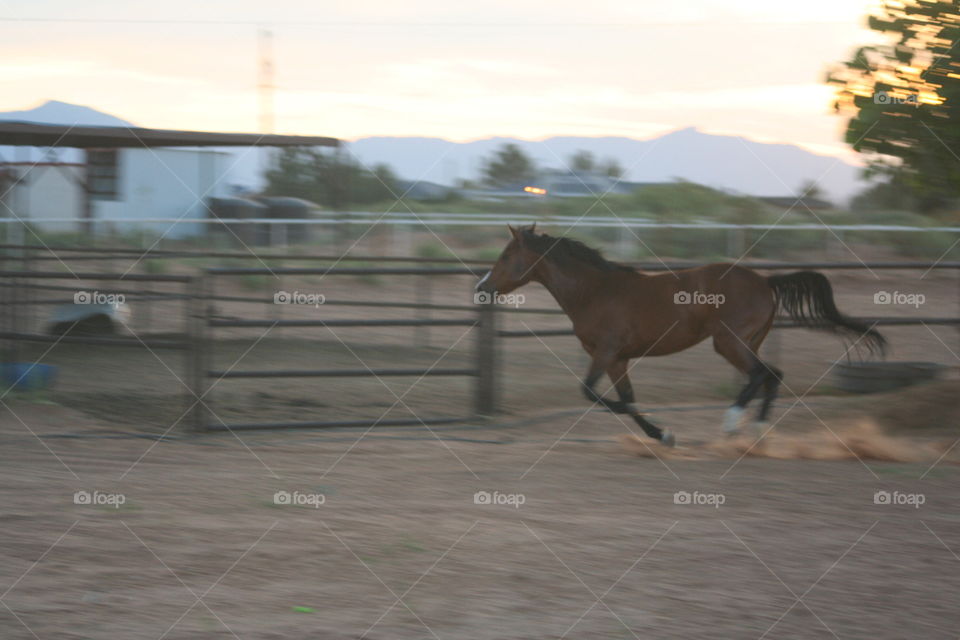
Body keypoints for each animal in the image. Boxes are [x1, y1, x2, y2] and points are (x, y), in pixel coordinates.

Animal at [476, 225, 888, 444]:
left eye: (505, 257)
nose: (483, 287)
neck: (594, 291)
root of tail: (765, 281)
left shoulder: (606, 352)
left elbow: (594, 394)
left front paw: (661, 430)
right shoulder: (619, 359)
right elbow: (626, 398)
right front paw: (661, 435)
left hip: (729, 342)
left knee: (761, 374)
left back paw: (733, 424)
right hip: (748, 342)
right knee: (772, 375)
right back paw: (756, 431)